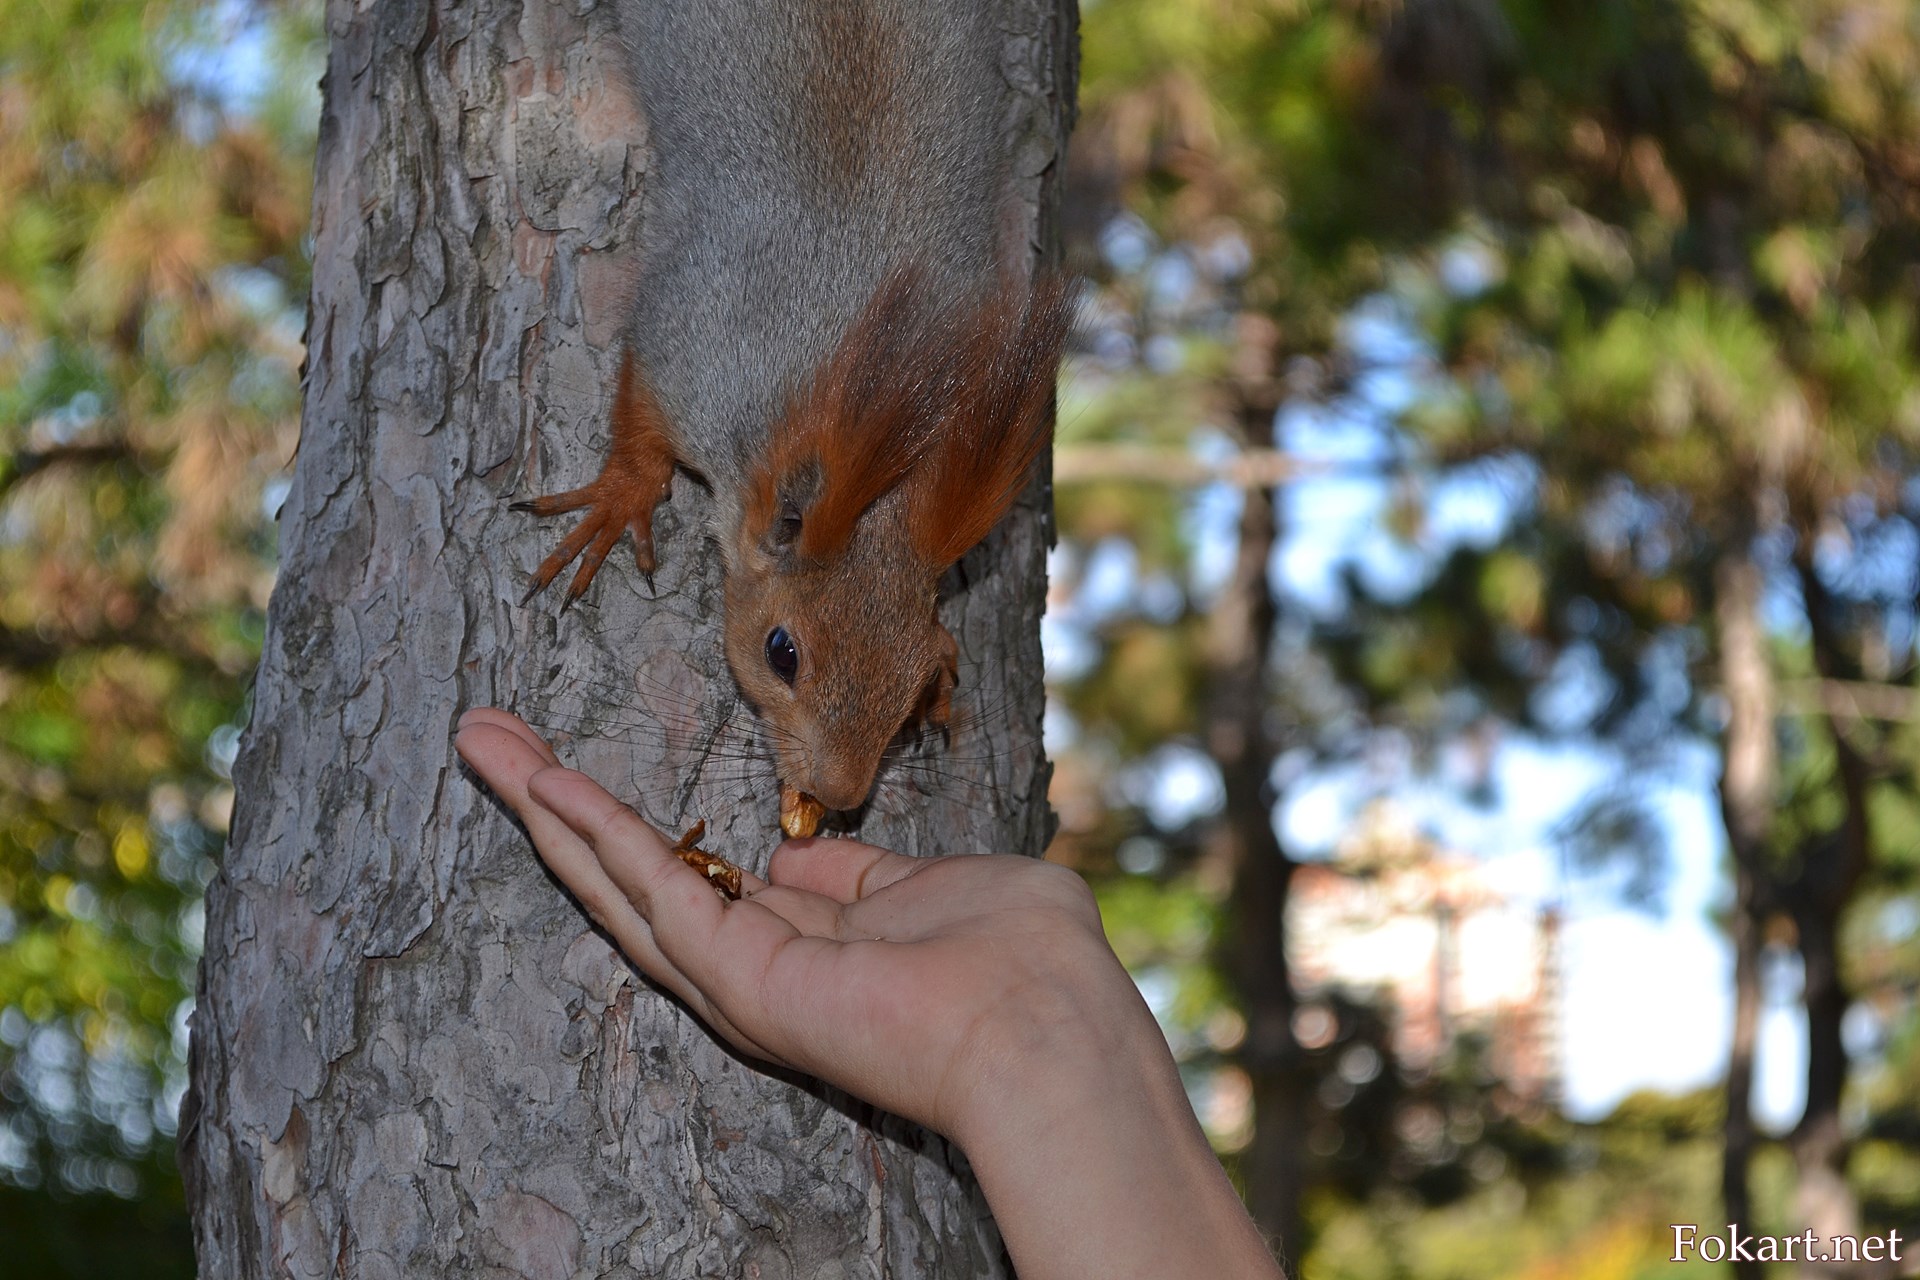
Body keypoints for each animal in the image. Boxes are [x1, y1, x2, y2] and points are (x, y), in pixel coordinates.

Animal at [517, 0, 1072, 823]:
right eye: (782, 653)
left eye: (912, 677)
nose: (839, 794)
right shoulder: (693, 339)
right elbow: (641, 412)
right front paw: (620, 499)